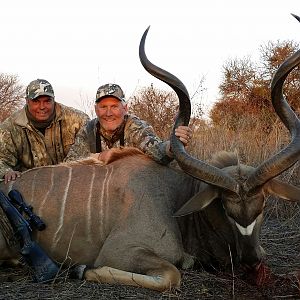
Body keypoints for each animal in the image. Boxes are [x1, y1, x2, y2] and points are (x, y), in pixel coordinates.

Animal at [0, 28, 300, 290]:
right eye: (226, 208)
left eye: (263, 205)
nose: (251, 259)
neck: (176, 197)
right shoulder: (119, 251)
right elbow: (171, 275)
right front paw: (81, 270)